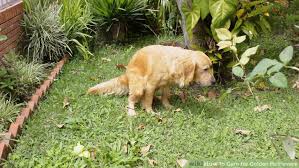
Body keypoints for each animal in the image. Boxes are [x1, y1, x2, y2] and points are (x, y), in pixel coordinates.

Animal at [86, 45, 216, 117]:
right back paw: (132, 112)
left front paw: (167, 106)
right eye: (205, 69)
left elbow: (165, 96)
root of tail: (127, 74)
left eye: (211, 67)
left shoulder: (166, 84)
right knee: (131, 99)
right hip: (138, 87)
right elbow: (148, 101)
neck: (172, 61)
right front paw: (150, 112)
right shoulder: (150, 85)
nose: (214, 81)